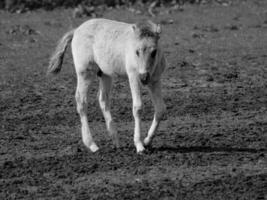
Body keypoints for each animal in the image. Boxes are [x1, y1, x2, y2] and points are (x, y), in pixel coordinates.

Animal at [47, 18, 166, 153]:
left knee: (103, 99)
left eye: (154, 52)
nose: (144, 77)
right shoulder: (133, 77)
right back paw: (92, 144)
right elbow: (138, 107)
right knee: (81, 101)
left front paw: (147, 141)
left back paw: (115, 140)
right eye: (136, 51)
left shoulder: (155, 80)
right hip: (85, 72)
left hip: (105, 74)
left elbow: (160, 109)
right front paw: (139, 145)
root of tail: (76, 30)